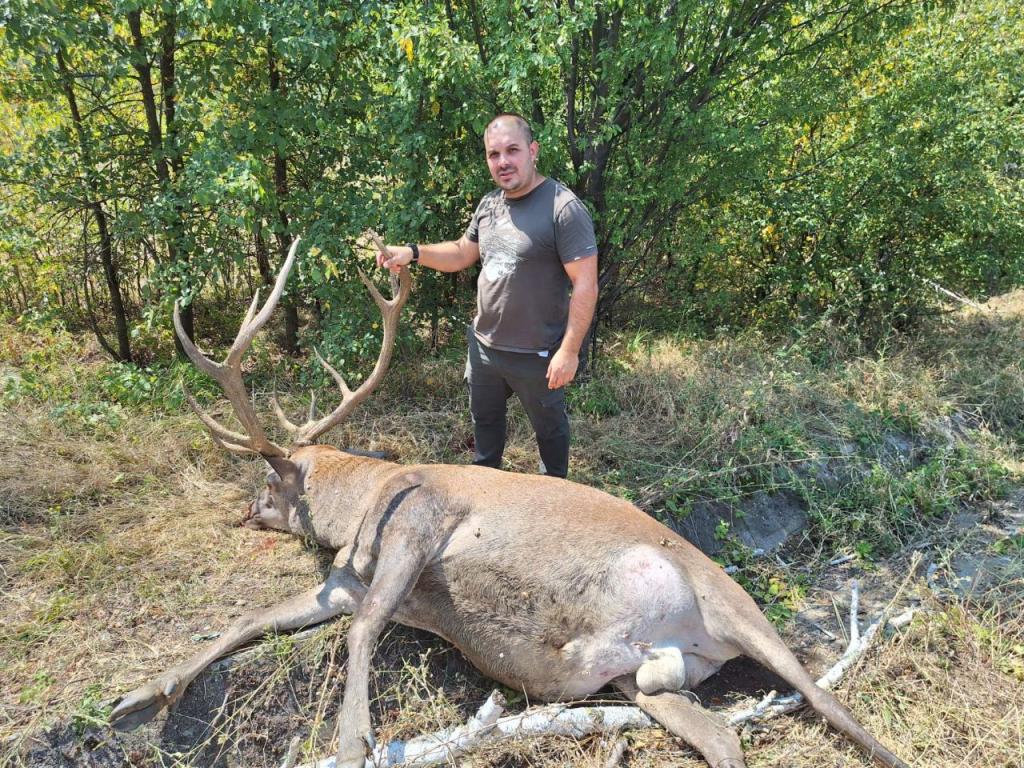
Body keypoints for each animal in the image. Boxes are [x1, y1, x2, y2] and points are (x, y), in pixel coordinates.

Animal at [110, 237, 905, 765]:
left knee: (826, 698)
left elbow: (364, 627)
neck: (359, 511)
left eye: (270, 482)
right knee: (721, 741)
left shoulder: (421, 518)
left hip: (736, 607)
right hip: (646, 682)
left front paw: (353, 738)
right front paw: (139, 696)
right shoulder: (341, 579)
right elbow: (250, 619)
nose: (244, 511)